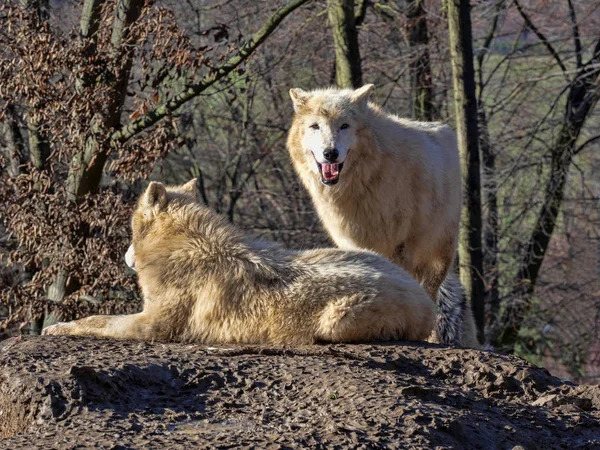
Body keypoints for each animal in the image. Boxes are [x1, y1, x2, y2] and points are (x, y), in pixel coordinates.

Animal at [43, 179, 436, 344]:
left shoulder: (152, 326)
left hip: (336, 320)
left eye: (129, 229)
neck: (183, 246)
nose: (124, 255)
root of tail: (424, 298)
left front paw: (57, 328)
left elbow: (98, 320)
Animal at [286, 84, 478, 348]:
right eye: (315, 126)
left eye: (344, 125)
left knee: (430, 291)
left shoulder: (399, 246)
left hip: (439, 251)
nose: (330, 153)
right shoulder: (353, 242)